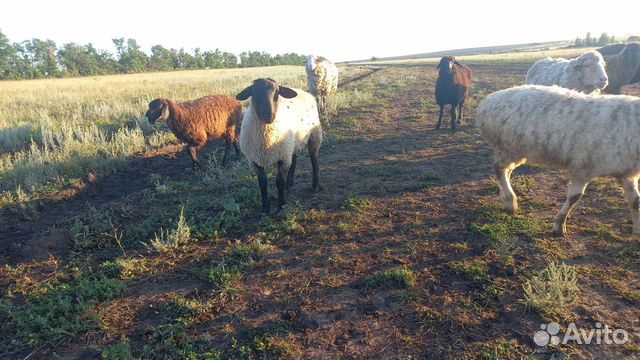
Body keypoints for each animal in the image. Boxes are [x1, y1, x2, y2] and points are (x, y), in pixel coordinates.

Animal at [236, 78, 322, 214]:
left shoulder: (283, 157)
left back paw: (315, 185)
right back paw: (289, 184)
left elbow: (279, 181)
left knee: (314, 160)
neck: (266, 140)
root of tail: (305, 92)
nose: (269, 116)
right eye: (254, 93)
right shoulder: (254, 161)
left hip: (313, 135)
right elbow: (262, 183)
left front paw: (281, 205)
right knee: (294, 159)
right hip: (291, 144)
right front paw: (265, 207)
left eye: (277, 93)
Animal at [478, 84, 640, 236]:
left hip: (515, 150)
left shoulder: (628, 173)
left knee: (506, 170)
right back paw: (510, 201)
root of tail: (488, 101)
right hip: (509, 147)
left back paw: (505, 198)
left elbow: (635, 202)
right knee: (499, 169)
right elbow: (574, 197)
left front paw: (637, 230)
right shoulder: (583, 167)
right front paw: (559, 224)